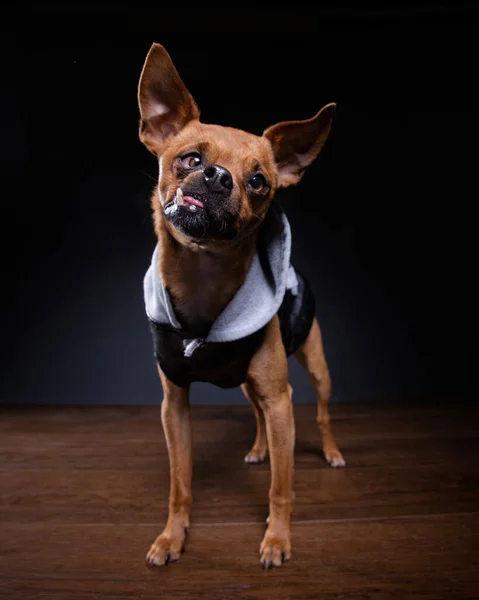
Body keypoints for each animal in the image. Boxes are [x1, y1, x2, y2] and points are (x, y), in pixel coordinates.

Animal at [137, 43, 344, 572]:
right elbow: (180, 484)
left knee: (323, 413)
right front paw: (172, 536)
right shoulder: (174, 406)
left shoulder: (281, 400)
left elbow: (282, 489)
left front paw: (277, 539)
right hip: (256, 388)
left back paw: (331, 451)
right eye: (189, 159)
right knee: (257, 416)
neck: (204, 282)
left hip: (315, 366)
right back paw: (259, 449)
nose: (216, 176)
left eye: (258, 181)